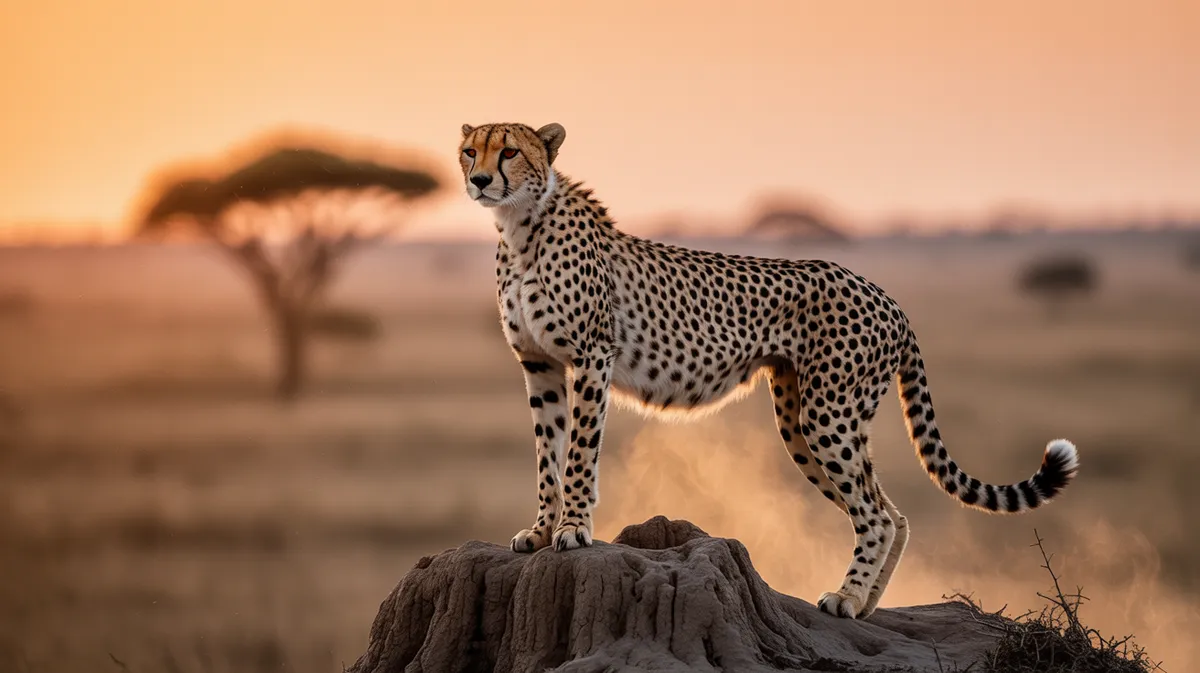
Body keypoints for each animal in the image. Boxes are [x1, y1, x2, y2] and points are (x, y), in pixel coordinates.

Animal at [457, 121, 1080, 619]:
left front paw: (574, 530)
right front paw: (542, 529)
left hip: (828, 413)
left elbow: (579, 454)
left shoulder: (591, 356)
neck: (520, 227)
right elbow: (548, 452)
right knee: (891, 512)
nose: (481, 180)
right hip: (805, 418)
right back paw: (868, 605)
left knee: (875, 514)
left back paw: (845, 599)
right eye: (469, 151)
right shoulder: (540, 366)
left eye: (509, 151)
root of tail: (886, 296)